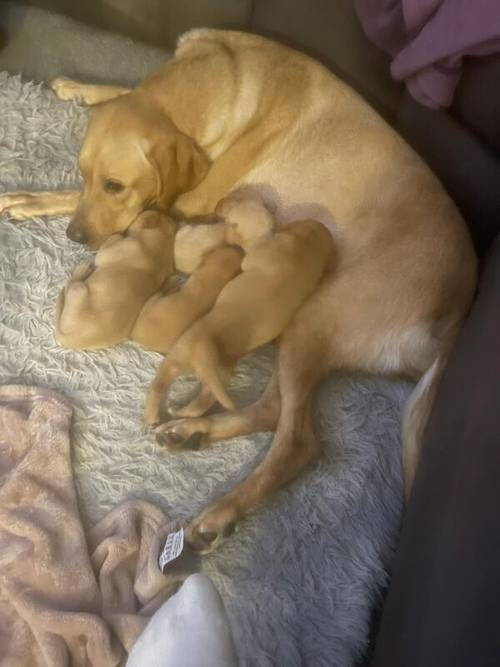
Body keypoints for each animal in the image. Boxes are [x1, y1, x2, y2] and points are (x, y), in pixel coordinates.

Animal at [55, 211, 174, 350]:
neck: (158, 247)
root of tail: (70, 339)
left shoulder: (116, 248)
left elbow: (114, 238)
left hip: (79, 289)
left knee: (70, 286)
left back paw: (82, 270)